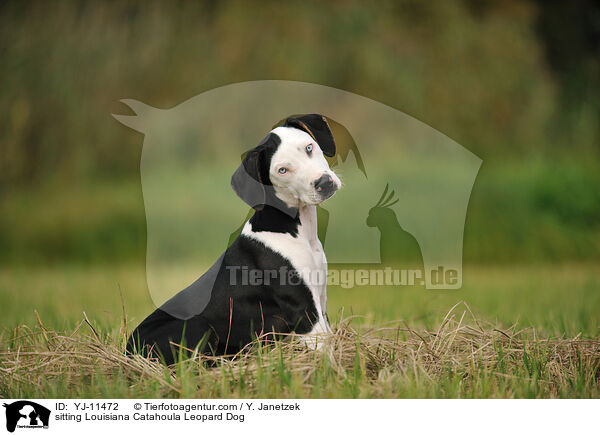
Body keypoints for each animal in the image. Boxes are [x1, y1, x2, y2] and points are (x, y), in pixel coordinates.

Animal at [126, 113, 342, 364]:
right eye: (282, 170)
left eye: (309, 147)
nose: (324, 183)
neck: (295, 230)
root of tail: (127, 350)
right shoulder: (305, 312)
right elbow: (326, 358)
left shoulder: (319, 300)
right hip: (198, 326)